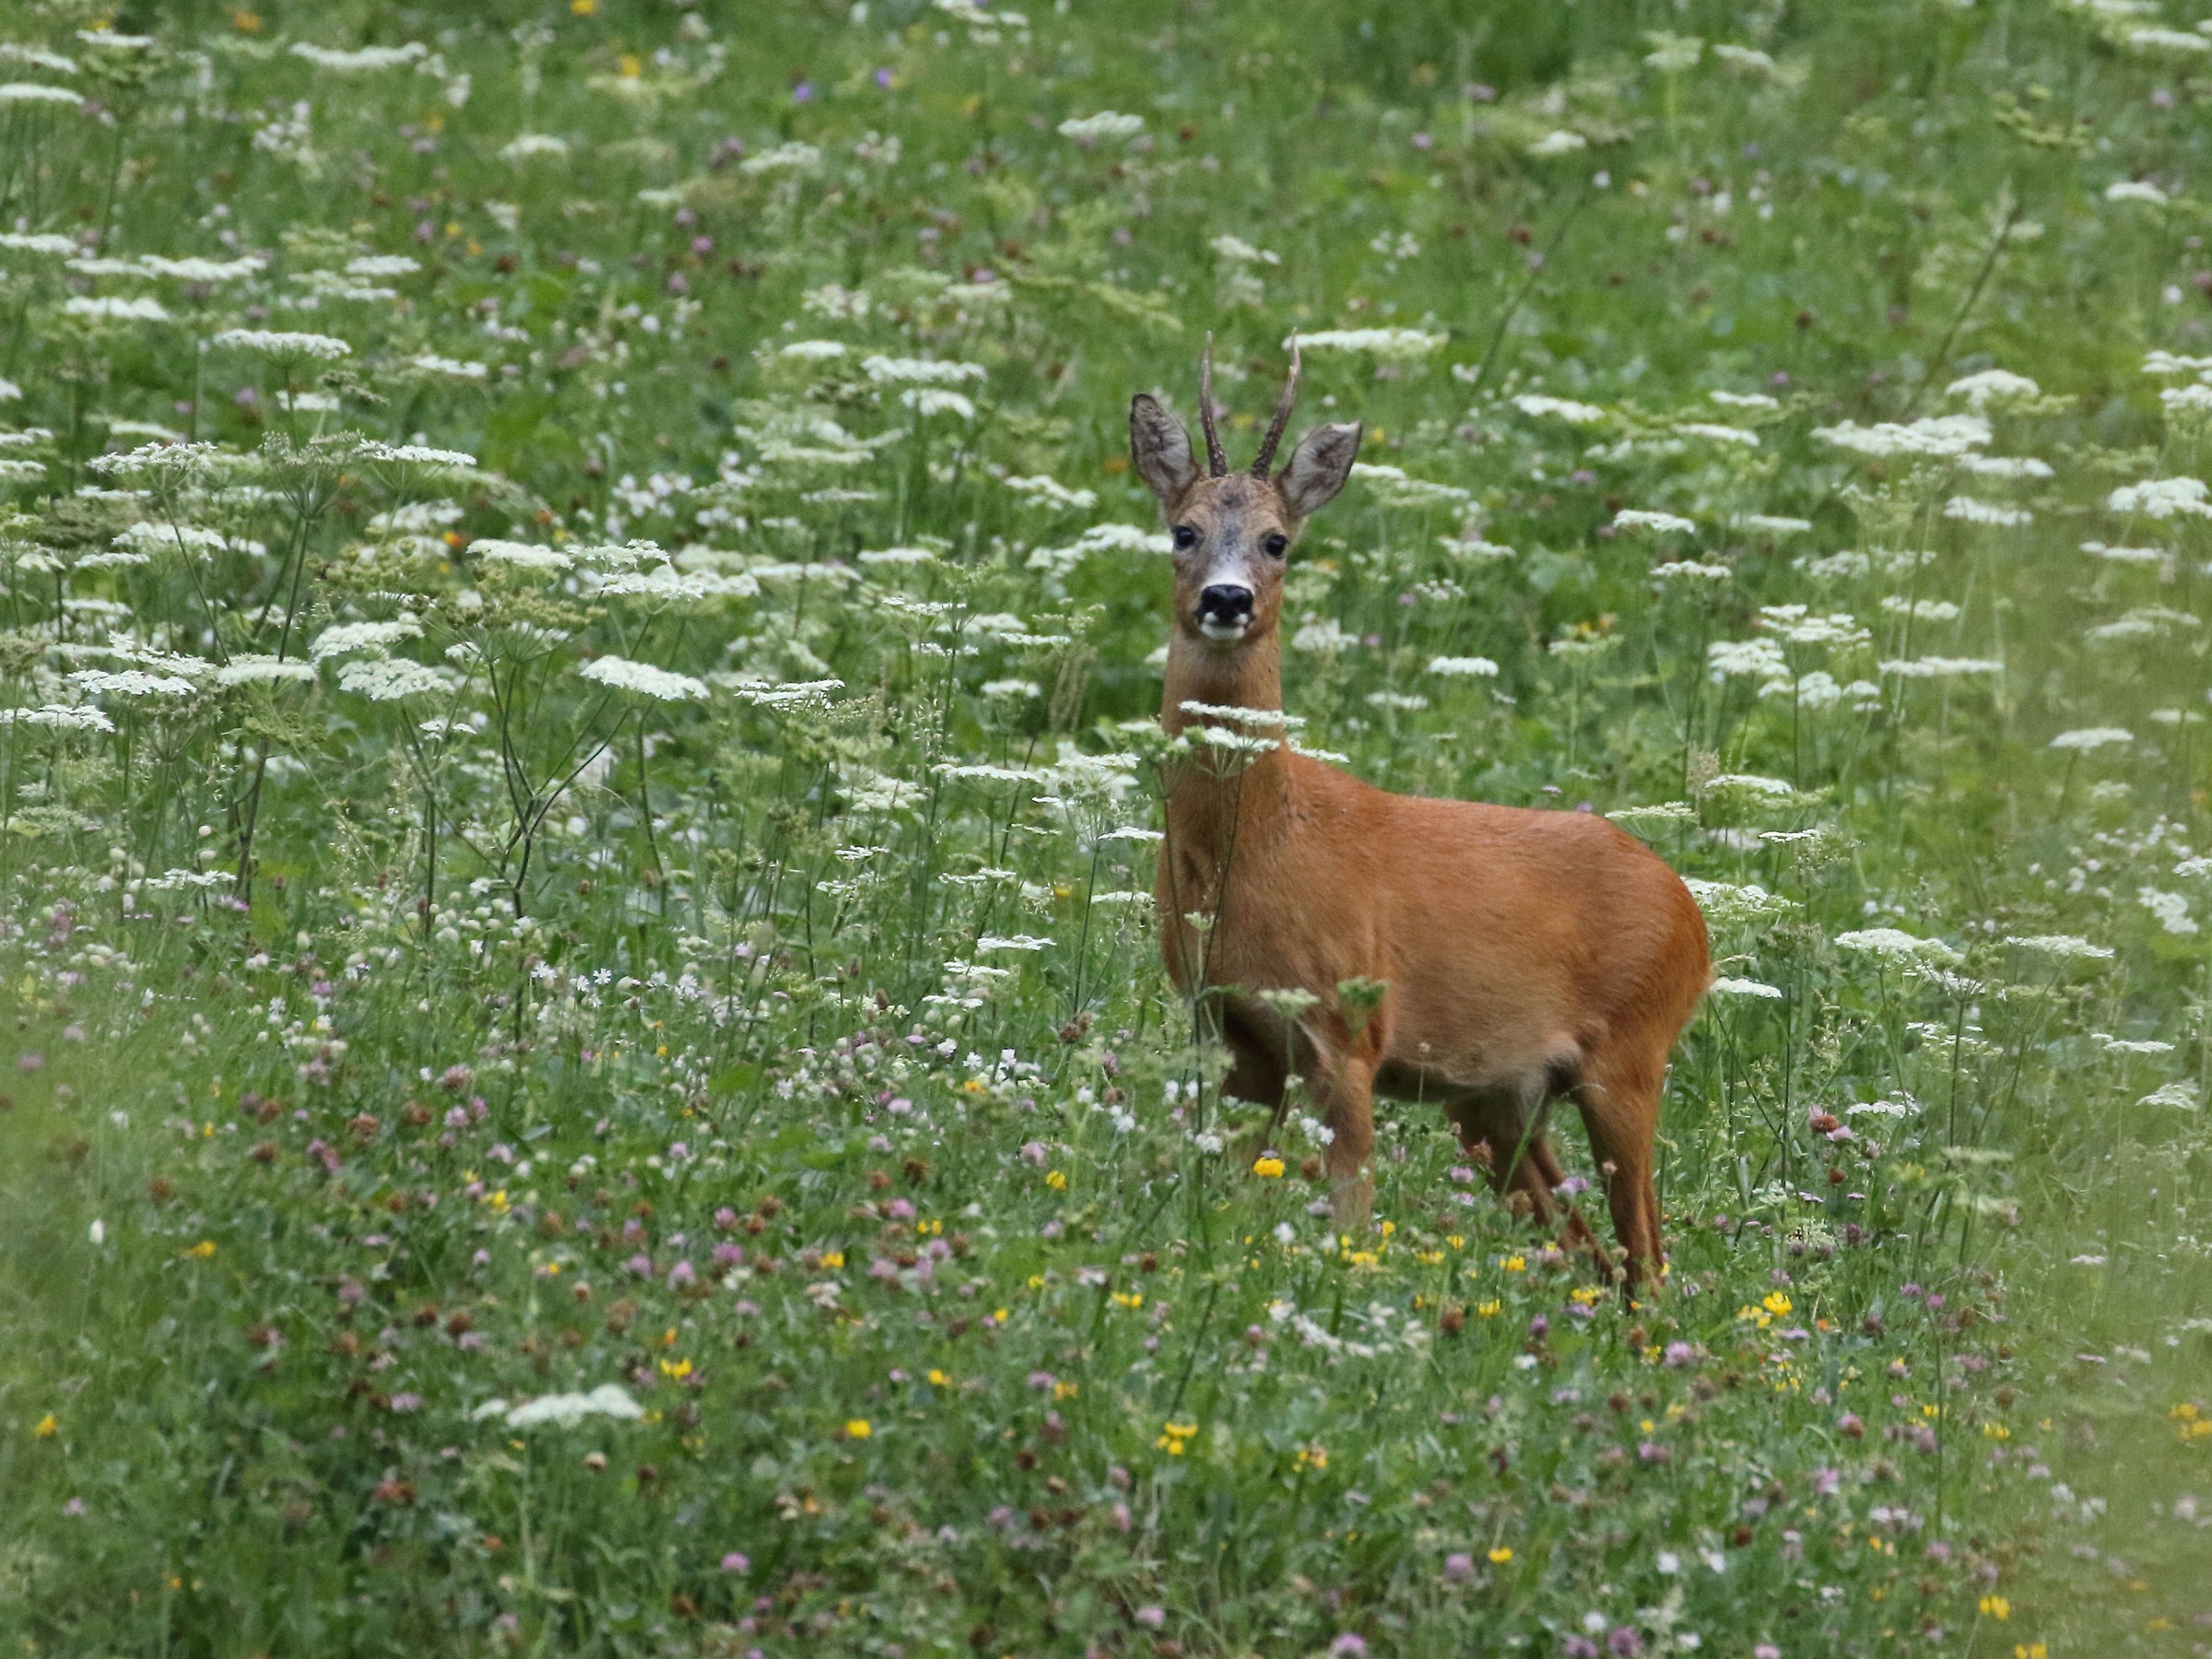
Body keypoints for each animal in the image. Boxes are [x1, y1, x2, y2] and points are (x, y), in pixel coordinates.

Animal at [1131, 341, 1711, 1289]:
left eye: (1278, 540)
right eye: (1182, 531)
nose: (1226, 599)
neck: (1256, 850)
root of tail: (1694, 917)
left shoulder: (1350, 1028)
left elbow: (1351, 1210)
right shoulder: (1231, 1032)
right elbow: (1226, 1193)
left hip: (1631, 1053)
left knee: (1648, 1259)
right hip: (1498, 1098)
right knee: (1591, 1250)